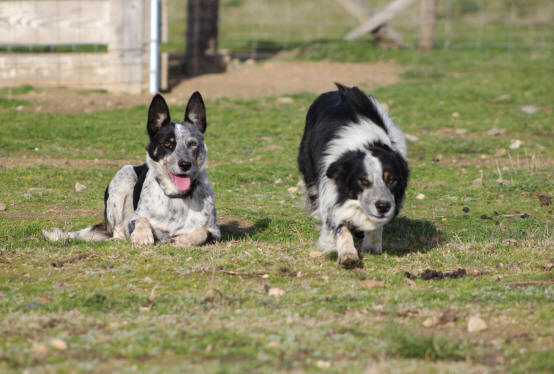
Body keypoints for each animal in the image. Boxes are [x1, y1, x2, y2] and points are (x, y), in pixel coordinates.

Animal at [43, 92, 220, 247]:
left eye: (192, 143)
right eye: (168, 144)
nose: (185, 164)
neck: (177, 196)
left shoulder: (215, 232)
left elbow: (202, 231)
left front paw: (184, 239)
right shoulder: (134, 219)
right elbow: (142, 220)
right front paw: (142, 236)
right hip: (123, 178)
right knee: (117, 231)